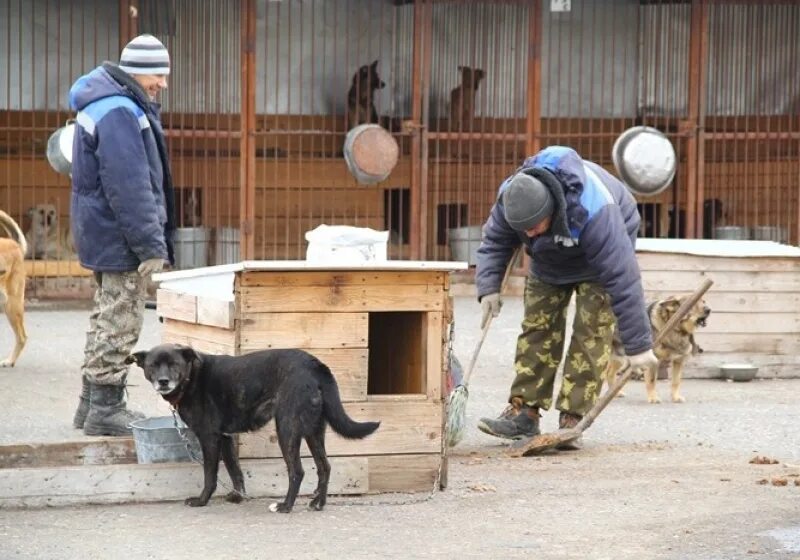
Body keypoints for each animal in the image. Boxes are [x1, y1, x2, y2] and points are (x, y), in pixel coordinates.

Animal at [127, 342, 382, 512]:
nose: (163, 381)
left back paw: (285, 506)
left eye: (174, 364)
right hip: (313, 430)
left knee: (297, 471)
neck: (192, 378)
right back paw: (317, 503)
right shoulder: (225, 437)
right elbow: (235, 470)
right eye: (153, 365)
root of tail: (315, 365)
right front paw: (237, 496)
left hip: (287, 428)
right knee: (325, 467)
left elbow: (210, 474)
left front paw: (201, 501)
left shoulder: (209, 438)